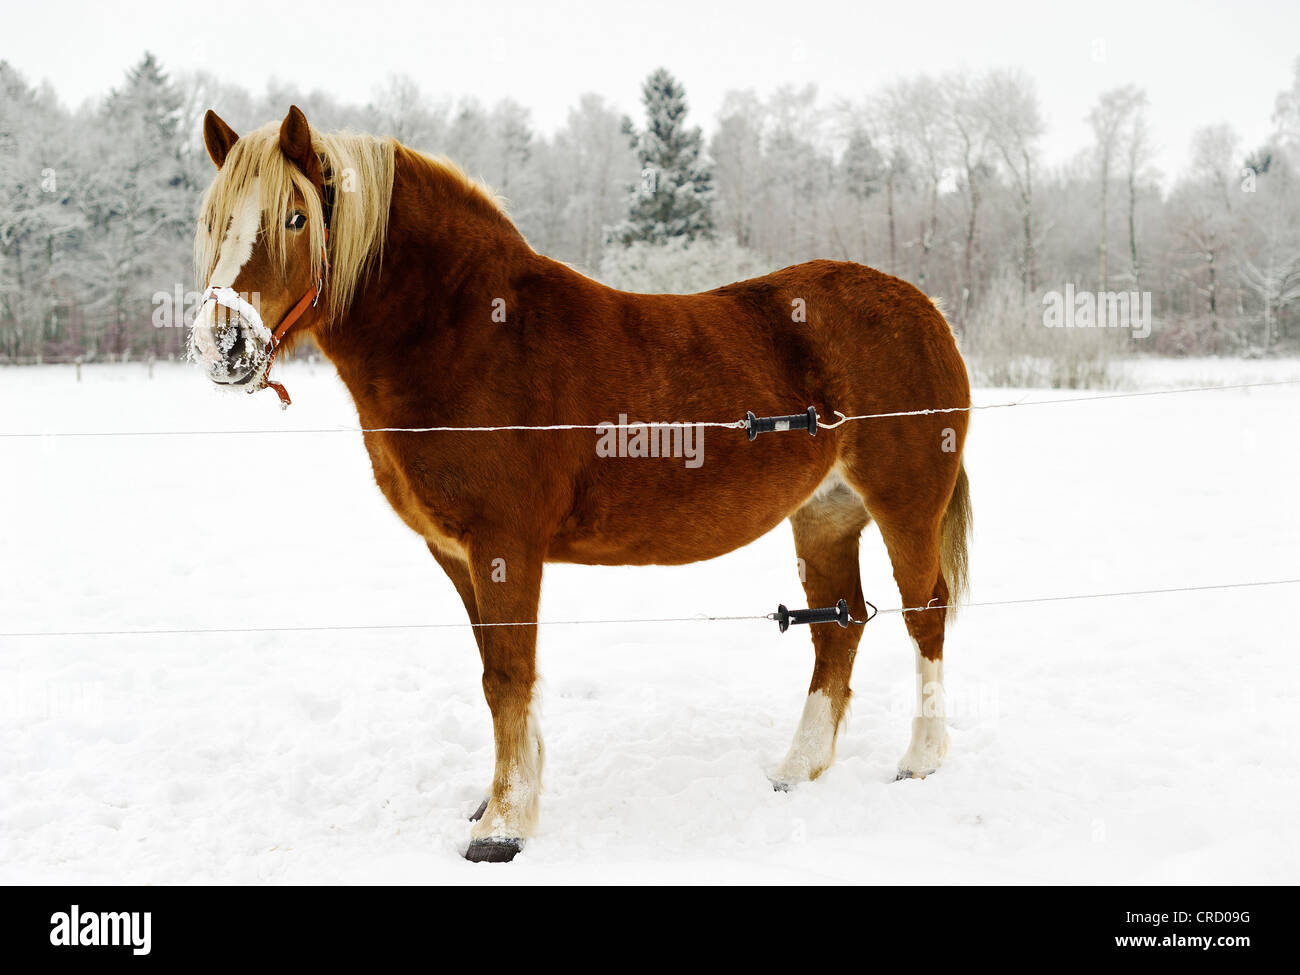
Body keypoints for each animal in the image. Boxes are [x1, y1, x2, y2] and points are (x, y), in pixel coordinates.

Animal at [188, 106, 972, 868]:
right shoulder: (458, 554)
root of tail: (926, 310)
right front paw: (504, 799)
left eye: (295, 218)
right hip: (825, 516)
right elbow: (499, 673)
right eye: (215, 218)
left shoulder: (504, 545)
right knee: (839, 627)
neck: (471, 334)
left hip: (904, 507)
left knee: (925, 613)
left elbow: (508, 678)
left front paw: (502, 829)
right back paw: (797, 768)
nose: (223, 344)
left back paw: (921, 759)